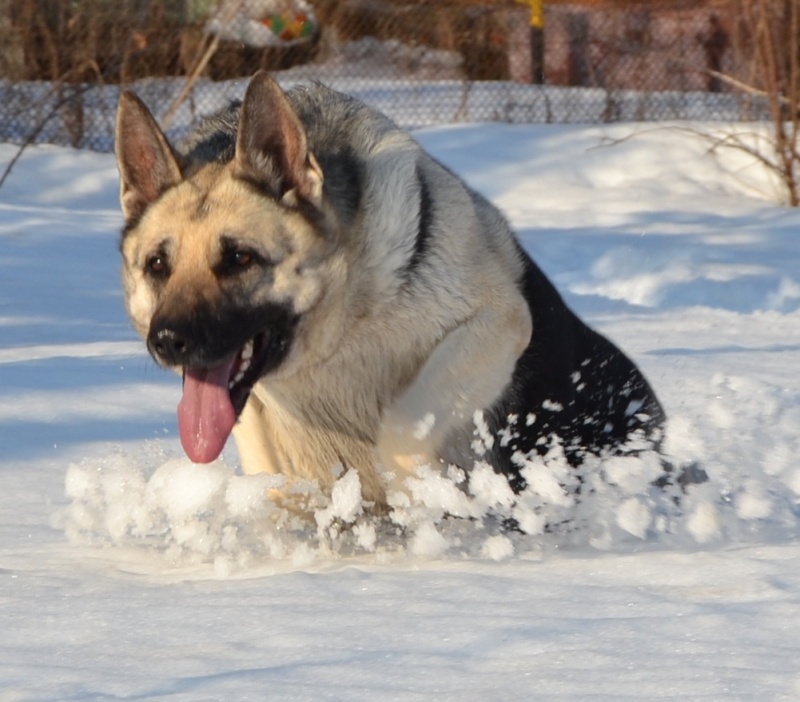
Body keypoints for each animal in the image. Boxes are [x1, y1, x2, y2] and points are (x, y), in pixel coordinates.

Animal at [115, 73, 672, 512]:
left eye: (240, 259)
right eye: (158, 266)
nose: (168, 341)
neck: (345, 329)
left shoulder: (496, 323)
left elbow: (404, 427)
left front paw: (421, 498)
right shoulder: (250, 410)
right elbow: (270, 467)